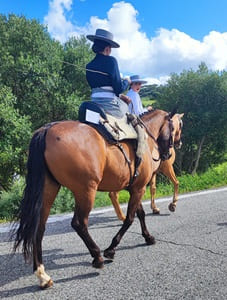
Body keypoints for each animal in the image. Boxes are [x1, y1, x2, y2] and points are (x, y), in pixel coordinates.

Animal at [12, 108, 174, 288]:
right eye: (174, 128)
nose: (168, 154)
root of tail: (47, 129)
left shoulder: (135, 188)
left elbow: (140, 214)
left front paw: (148, 237)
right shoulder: (139, 189)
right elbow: (130, 219)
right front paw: (111, 248)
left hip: (49, 190)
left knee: (38, 228)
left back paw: (42, 275)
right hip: (86, 191)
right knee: (79, 223)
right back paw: (97, 256)